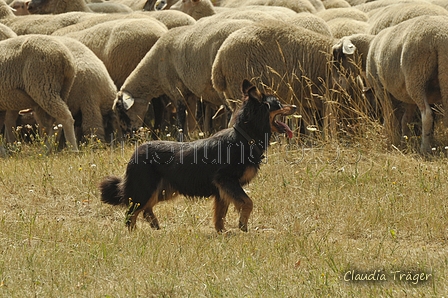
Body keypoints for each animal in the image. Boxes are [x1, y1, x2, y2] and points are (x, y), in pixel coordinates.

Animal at [100, 79, 298, 233]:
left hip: (165, 189)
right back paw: (134, 234)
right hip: (146, 188)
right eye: (278, 104)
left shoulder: (222, 189)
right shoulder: (226, 180)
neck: (244, 137)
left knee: (146, 209)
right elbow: (247, 202)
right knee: (131, 213)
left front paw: (222, 233)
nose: (295, 106)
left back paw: (156, 228)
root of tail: (136, 152)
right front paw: (242, 226)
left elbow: (220, 214)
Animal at [114, 18, 256, 135]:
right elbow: (189, 121)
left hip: (229, 84)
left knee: (231, 111)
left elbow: (181, 121)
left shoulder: (177, 90)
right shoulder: (189, 93)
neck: (154, 68)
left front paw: (180, 139)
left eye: (121, 110)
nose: (128, 137)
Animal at [332, 15, 448, 152]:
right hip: (439, 77)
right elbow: (406, 119)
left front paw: (388, 138)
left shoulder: (380, 88)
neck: (369, 48)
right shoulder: (407, 96)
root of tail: (439, 39)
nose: (336, 83)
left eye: (337, 54)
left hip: (416, 77)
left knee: (427, 114)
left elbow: (389, 116)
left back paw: (425, 149)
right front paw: (404, 140)